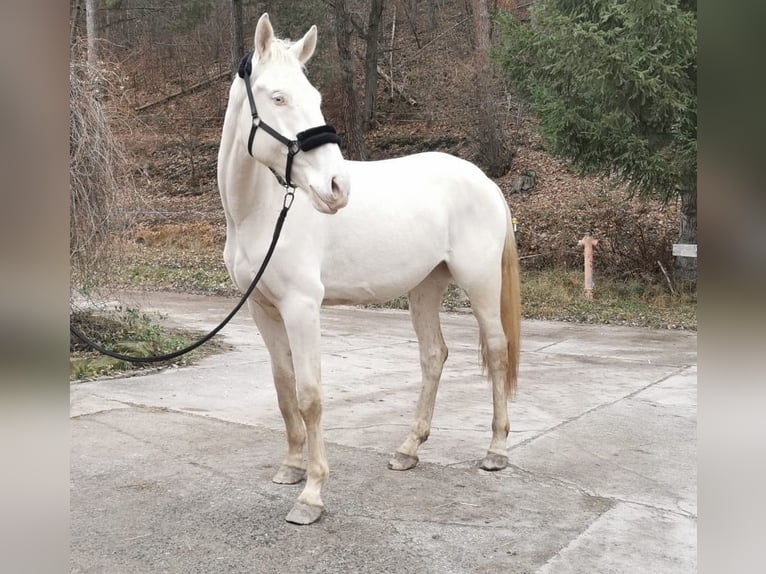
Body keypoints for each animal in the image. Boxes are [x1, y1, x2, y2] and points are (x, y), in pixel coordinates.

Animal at [217, 13, 521, 525]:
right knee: (433, 356)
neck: (261, 211)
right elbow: (283, 387)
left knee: (497, 352)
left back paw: (496, 451)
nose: (337, 187)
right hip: (425, 287)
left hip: (479, 283)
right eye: (278, 97)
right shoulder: (262, 308)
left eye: (316, 97)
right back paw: (408, 449)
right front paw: (291, 467)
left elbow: (310, 395)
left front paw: (312, 494)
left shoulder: (302, 307)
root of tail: (483, 180)